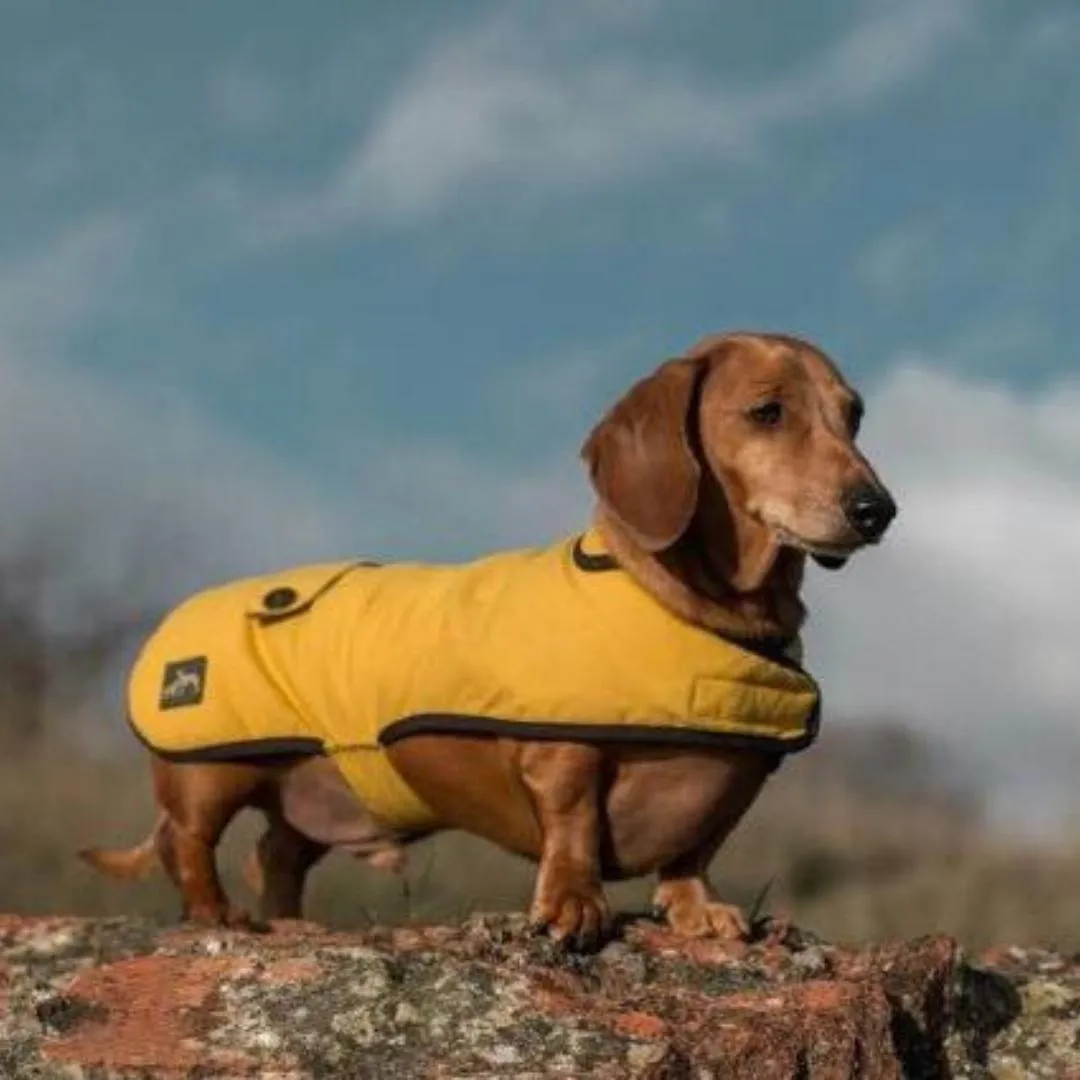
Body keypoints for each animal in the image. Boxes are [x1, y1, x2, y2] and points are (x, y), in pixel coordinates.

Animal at [82, 328, 894, 946]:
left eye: (852, 415)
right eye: (766, 412)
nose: (876, 510)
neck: (696, 613)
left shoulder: (733, 784)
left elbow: (694, 850)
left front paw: (699, 909)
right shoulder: (562, 757)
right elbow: (572, 827)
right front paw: (572, 906)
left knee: (275, 853)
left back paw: (290, 923)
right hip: (210, 773)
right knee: (188, 844)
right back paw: (218, 915)